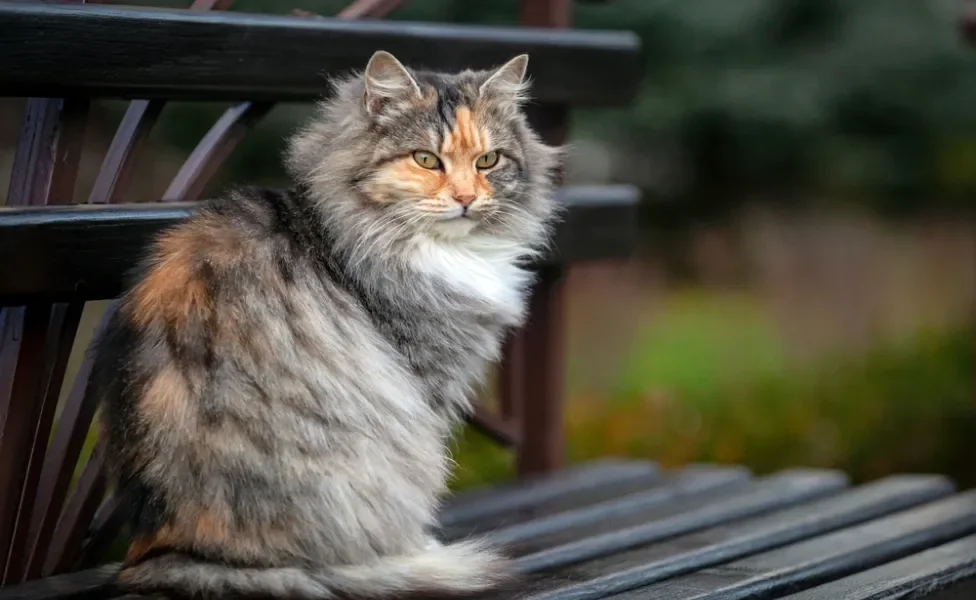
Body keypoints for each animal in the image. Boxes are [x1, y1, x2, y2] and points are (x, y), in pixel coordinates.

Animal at [89, 51, 564, 600]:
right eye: (426, 160)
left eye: (488, 161)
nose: (467, 198)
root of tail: (173, 549)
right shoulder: (427, 383)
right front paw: (421, 545)